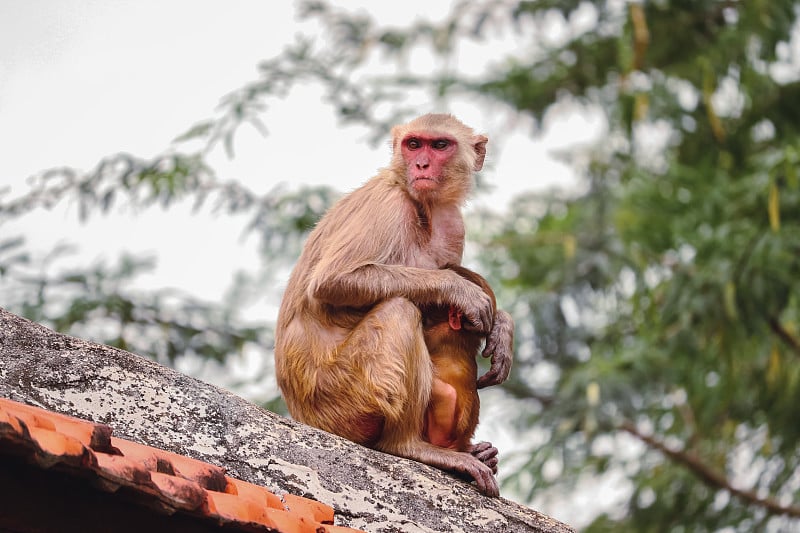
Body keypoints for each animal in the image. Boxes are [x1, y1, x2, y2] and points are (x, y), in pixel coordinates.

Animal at [274, 111, 512, 494]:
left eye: (440, 145)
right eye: (413, 144)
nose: (421, 164)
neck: (421, 205)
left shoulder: (453, 224)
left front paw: (503, 327)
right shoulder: (387, 205)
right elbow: (333, 282)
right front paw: (459, 289)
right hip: (341, 399)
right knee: (399, 310)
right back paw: (409, 446)